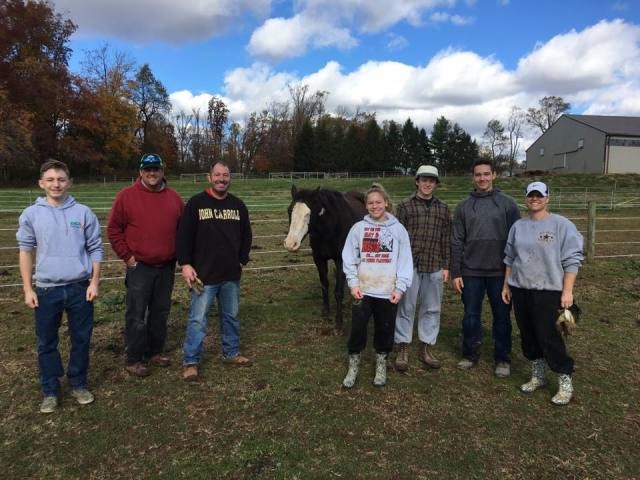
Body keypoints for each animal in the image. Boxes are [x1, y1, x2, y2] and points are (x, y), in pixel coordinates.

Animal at [284, 185, 364, 330]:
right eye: (289, 210)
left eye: (308, 214)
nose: (290, 244)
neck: (331, 228)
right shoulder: (319, 259)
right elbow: (324, 285)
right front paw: (326, 312)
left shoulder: (340, 260)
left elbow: (338, 291)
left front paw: (339, 320)